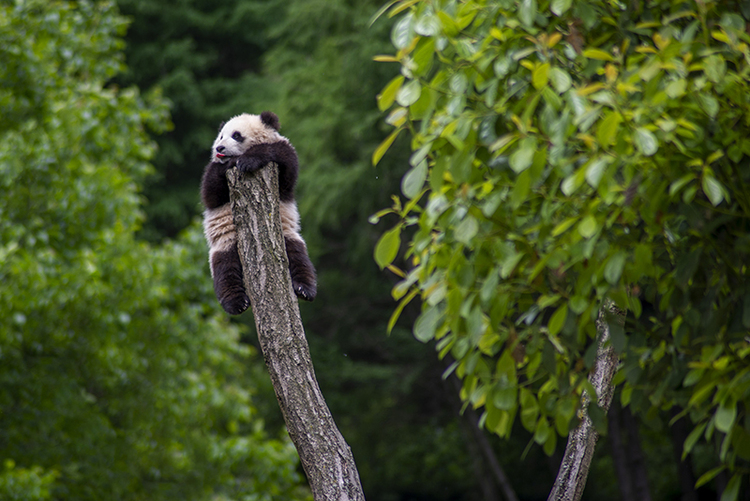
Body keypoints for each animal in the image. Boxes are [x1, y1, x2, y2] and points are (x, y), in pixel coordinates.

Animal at [200, 111, 318, 314]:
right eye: (221, 136)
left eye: (236, 135)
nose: (219, 147)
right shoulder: (212, 173)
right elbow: (211, 192)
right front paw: (231, 163)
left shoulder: (284, 168)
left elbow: (285, 163)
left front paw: (247, 161)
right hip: (225, 243)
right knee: (225, 271)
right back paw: (237, 303)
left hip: (287, 235)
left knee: (299, 257)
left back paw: (305, 289)